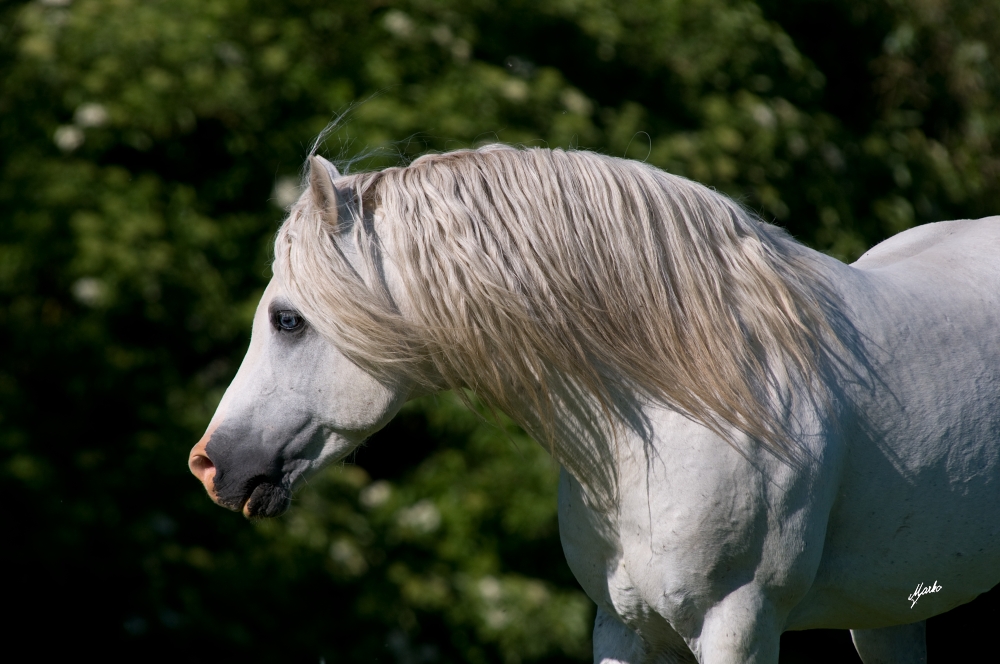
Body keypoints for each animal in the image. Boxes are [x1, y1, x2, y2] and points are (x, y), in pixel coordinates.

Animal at [188, 147, 1000, 664]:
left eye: (287, 319)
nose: (209, 463)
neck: (681, 406)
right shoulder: (621, 625)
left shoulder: (738, 628)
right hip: (891, 615)